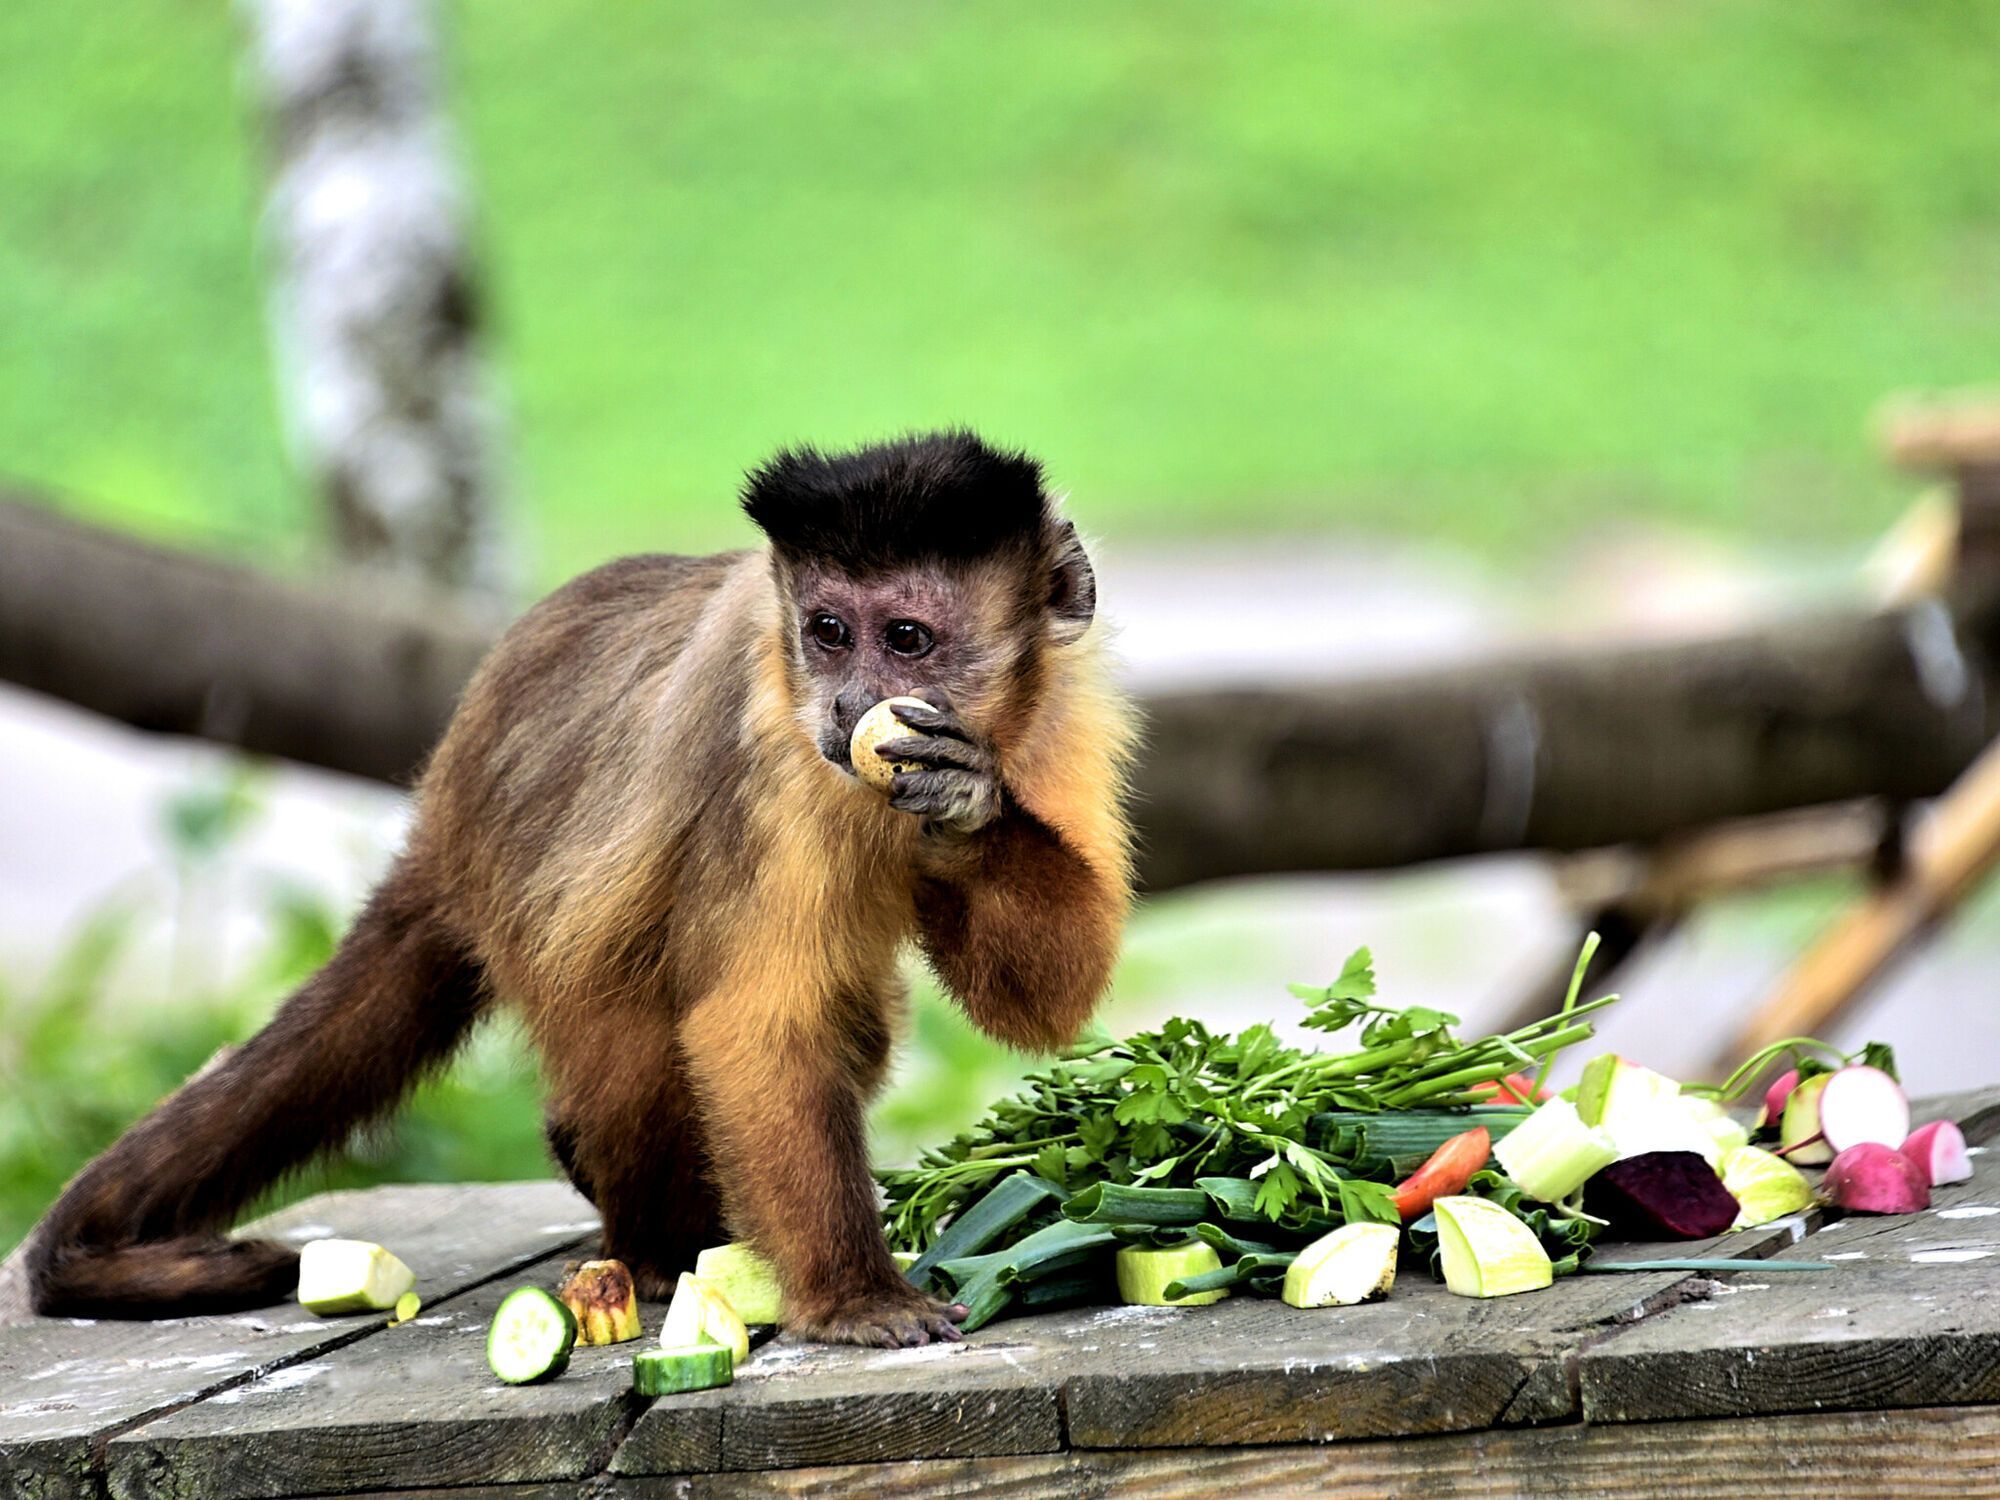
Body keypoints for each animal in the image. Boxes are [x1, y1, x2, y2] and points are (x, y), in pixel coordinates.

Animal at [31, 432, 1136, 1352]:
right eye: (827, 631)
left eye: (903, 640)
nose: (849, 702)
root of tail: (447, 805)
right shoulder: (769, 758)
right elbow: (755, 1024)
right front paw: (852, 1299)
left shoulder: (1054, 716)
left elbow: (1041, 1003)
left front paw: (965, 812)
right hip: (522, 905)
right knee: (639, 1036)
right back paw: (652, 1249)